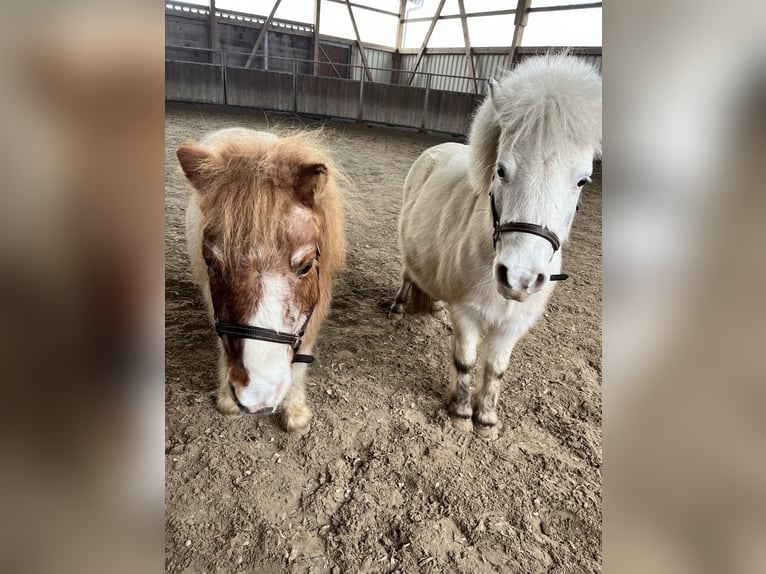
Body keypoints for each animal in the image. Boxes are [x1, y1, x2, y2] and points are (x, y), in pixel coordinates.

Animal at [390, 55, 602, 438]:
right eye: (501, 170)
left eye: (582, 181)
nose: (520, 278)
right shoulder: (467, 313)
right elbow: (466, 361)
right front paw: (461, 413)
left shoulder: (515, 323)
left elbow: (496, 368)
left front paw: (486, 418)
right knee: (407, 273)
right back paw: (398, 306)